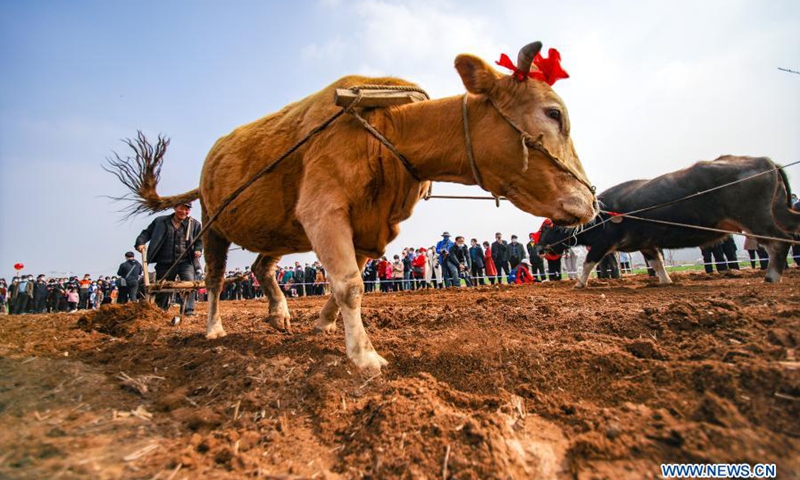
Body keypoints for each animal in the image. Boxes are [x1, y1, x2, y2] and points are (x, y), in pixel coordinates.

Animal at [536, 156, 800, 286]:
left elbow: (588, 262)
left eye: (548, 228)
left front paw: (579, 284)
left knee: (780, 242)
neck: (601, 216)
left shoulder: (604, 243)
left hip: (756, 218)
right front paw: (666, 280)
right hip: (777, 211)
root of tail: (767, 163)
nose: (538, 248)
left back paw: (771, 276)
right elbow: (658, 262)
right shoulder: (646, 244)